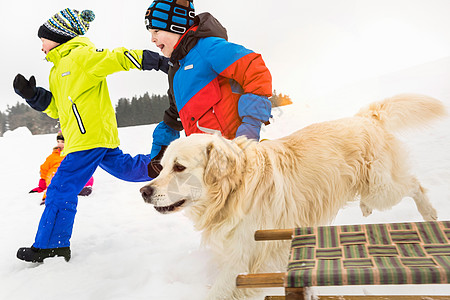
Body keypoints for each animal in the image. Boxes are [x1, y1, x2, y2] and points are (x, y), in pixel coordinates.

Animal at [141, 94, 446, 300]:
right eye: (162, 166)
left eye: (179, 167)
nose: (144, 191)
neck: (233, 191)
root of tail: (365, 118)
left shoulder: (244, 261)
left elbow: (218, 291)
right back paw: (366, 207)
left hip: (382, 188)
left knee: (413, 185)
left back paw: (429, 213)